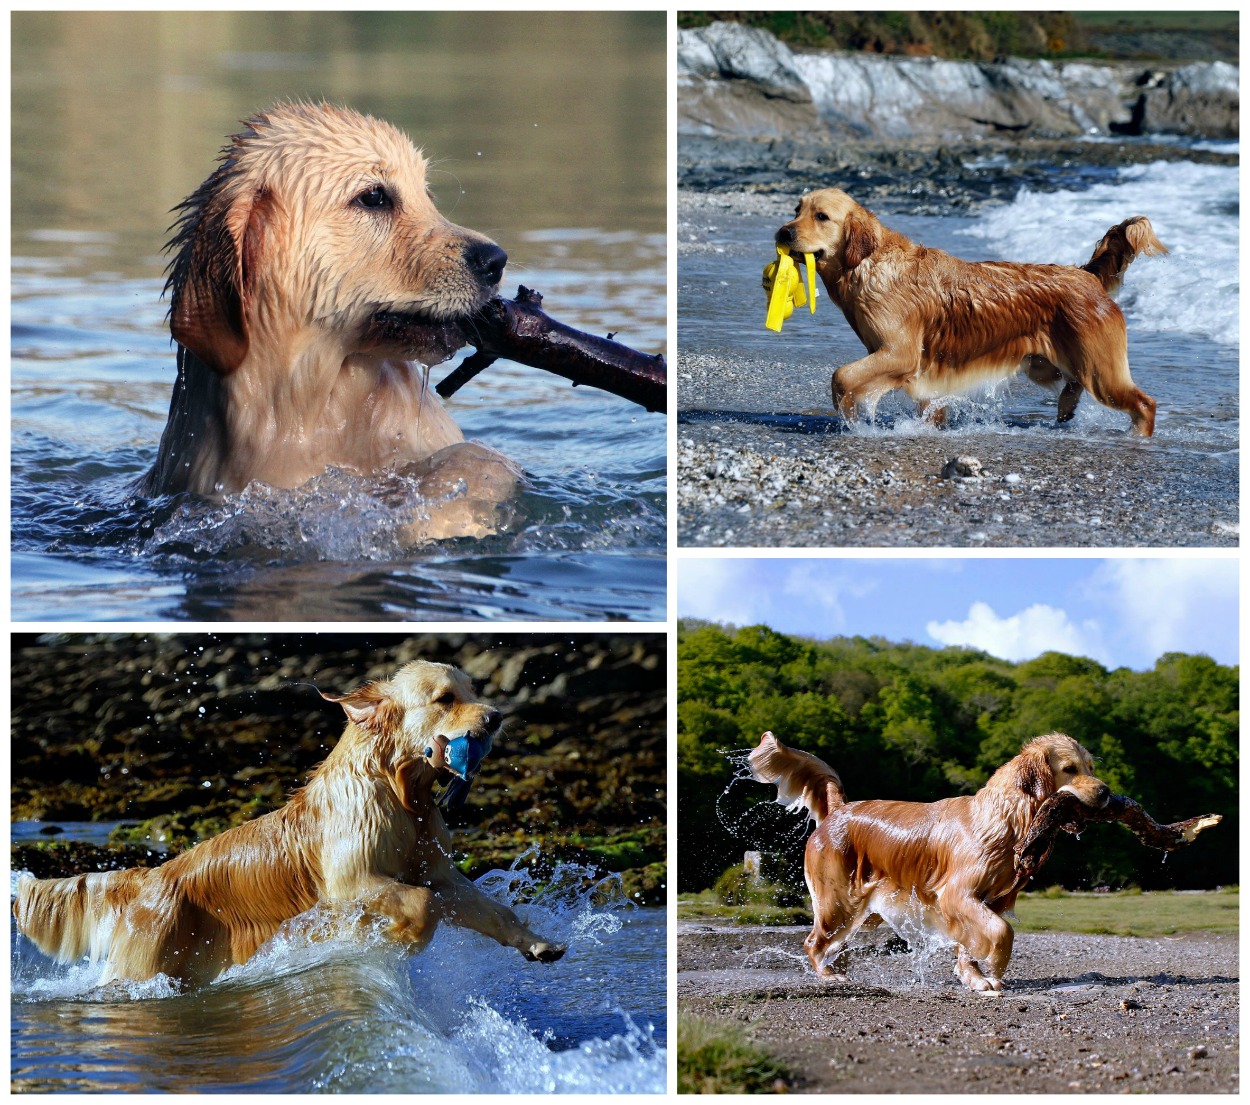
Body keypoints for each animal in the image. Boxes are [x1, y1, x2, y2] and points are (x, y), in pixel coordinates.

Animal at [12, 660, 570, 990]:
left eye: (472, 689)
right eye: (444, 699)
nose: (496, 717)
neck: (398, 792)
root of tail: (150, 878)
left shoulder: (437, 871)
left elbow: (487, 907)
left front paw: (538, 943)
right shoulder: (352, 882)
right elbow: (423, 904)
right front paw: (402, 938)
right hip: (143, 967)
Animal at [745, 735, 1110, 995]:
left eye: (1091, 767)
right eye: (1070, 769)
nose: (1106, 792)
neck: (1005, 819)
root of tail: (839, 809)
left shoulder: (982, 901)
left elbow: (973, 941)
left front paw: (973, 977)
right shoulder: (956, 894)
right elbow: (1002, 932)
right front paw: (994, 967)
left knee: (835, 944)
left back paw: (839, 969)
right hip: (838, 901)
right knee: (813, 942)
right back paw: (830, 976)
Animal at [775, 187, 1165, 435]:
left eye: (821, 216)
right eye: (796, 211)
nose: (782, 233)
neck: (870, 263)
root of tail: (1086, 275)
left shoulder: (901, 354)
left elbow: (841, 376)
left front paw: (851, 416)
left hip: (1101, 372)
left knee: (1144, 404)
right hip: (1047, 365)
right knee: (1073, 386)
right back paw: (1067, 407)